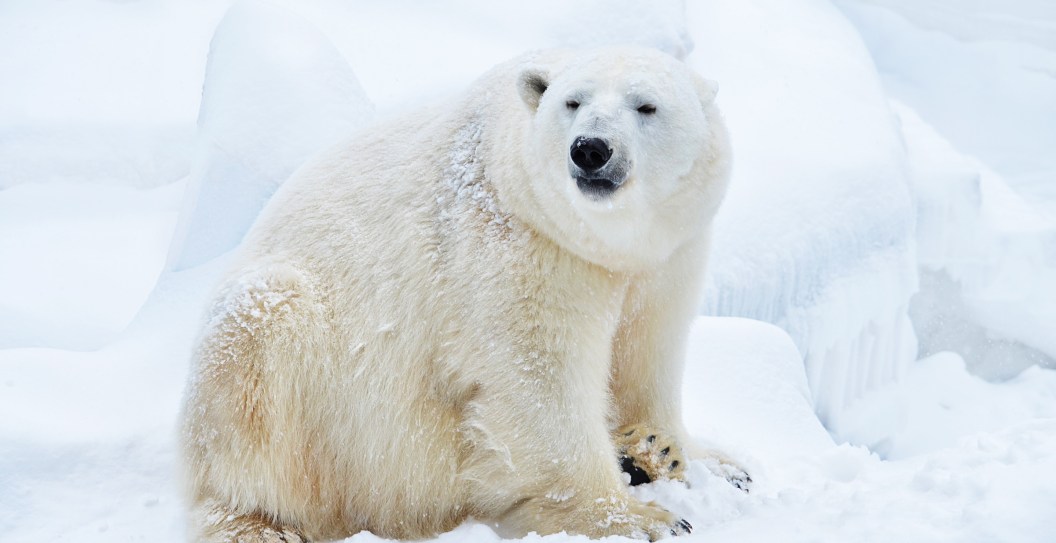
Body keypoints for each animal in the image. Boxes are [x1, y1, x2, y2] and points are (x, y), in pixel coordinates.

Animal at [180, 46, 739, 542]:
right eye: (572, 102)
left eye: (646, 106)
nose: (590, 149)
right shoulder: (512, 246)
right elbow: (539, 381)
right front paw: (641, 519)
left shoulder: (667, 257)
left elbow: (648, 347)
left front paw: (672, 452)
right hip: (290, 370)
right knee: (257, 371)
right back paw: (262, 525)